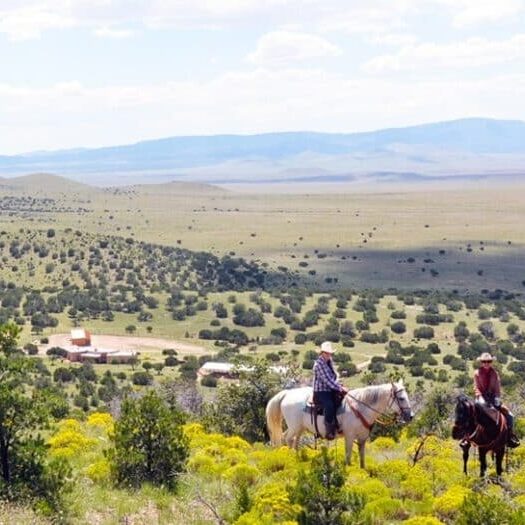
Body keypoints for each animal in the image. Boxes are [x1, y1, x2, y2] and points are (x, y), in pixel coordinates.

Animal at [266, 380, 414, 466]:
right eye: (401, 398)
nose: (411, 416)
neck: (360, 407)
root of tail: (286, 394)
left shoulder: (362, 438)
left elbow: (362, 459)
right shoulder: (349, 437)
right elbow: (348, 457)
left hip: (299, 428)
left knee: (293, 441)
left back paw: (296, 458)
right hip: (294, 426)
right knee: (287, 438)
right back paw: (290, 458)